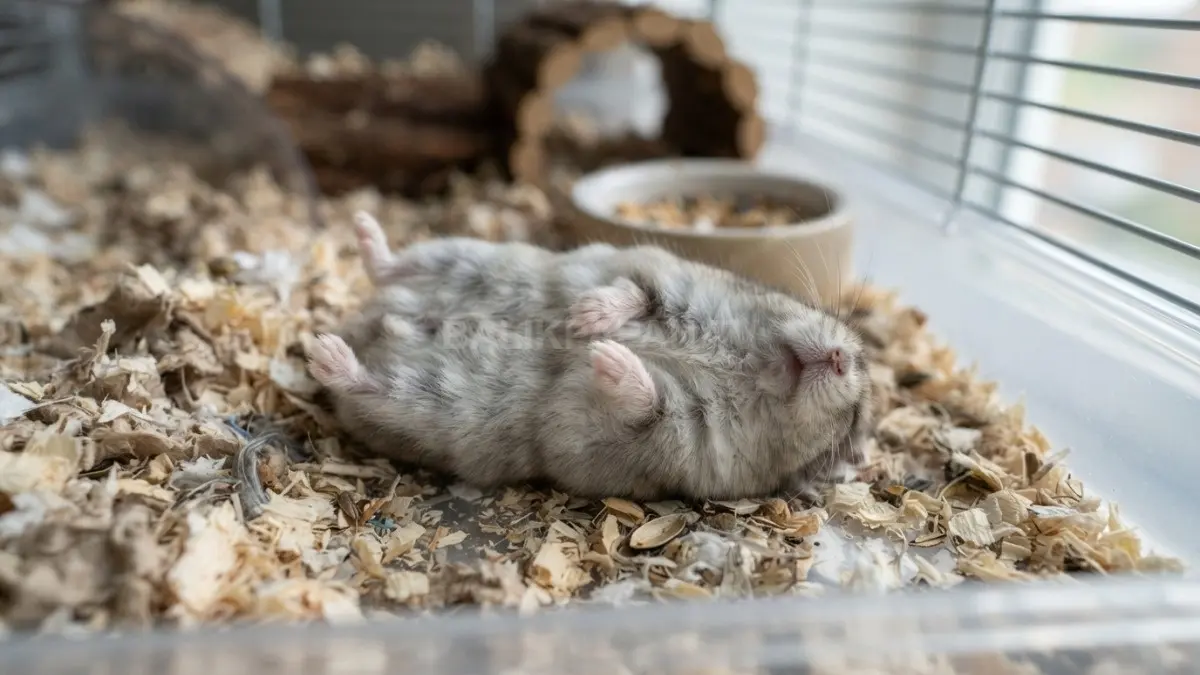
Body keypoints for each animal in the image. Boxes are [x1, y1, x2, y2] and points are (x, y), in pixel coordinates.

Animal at [305, 211, 873, 501]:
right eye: (812, 308)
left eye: (853, 421)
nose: (841, 359)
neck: (750, 368)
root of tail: (365, 317)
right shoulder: (658, 276)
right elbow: (633, 295)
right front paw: (584, 322)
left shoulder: (663, 437)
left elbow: (645, 398)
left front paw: (603, 356)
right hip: (461, 255)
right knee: (391, 267)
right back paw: (362, 232)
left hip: (419, 404)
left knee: (361, 383)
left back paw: (326, 350)